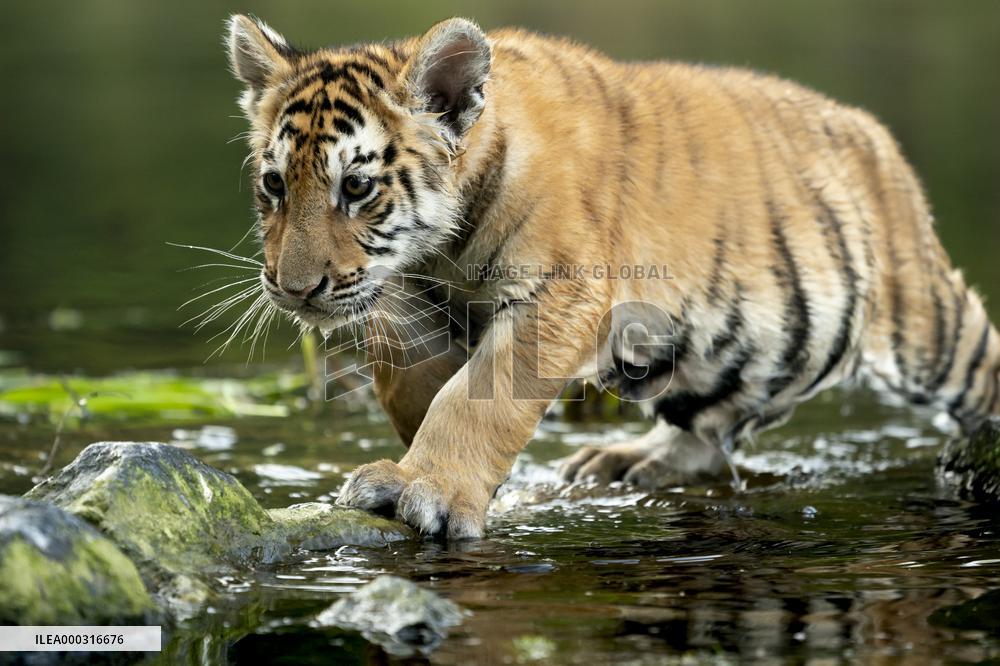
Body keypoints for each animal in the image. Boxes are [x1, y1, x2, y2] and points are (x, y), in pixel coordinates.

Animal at [224, 14, 1000, 539]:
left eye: (356, 188)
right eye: (274, 185)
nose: (293, 289)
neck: (437, 249)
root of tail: (877, 138)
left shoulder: (556, 296)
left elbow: (475, 399)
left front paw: (432, 488)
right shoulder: (409, 301)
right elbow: (419, 385)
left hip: (926, 324)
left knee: (980, 361)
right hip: (726, 350)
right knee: (713, 425)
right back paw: (627, 461)